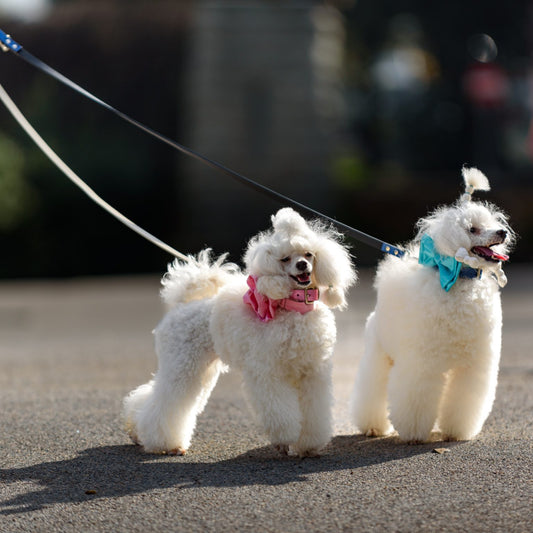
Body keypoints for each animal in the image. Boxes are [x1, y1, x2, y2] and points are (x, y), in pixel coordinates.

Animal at [350, 168, 516, 442]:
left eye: (492, 224)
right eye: (473, 229)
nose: (502, 232)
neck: (460, 279)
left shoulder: (473, 365)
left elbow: (465, 398)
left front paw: (457, 431)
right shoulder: (422, 364)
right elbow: (416, 396)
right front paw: (415, 433)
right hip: (378, 353)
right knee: (372, 387)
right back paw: (373, 426)